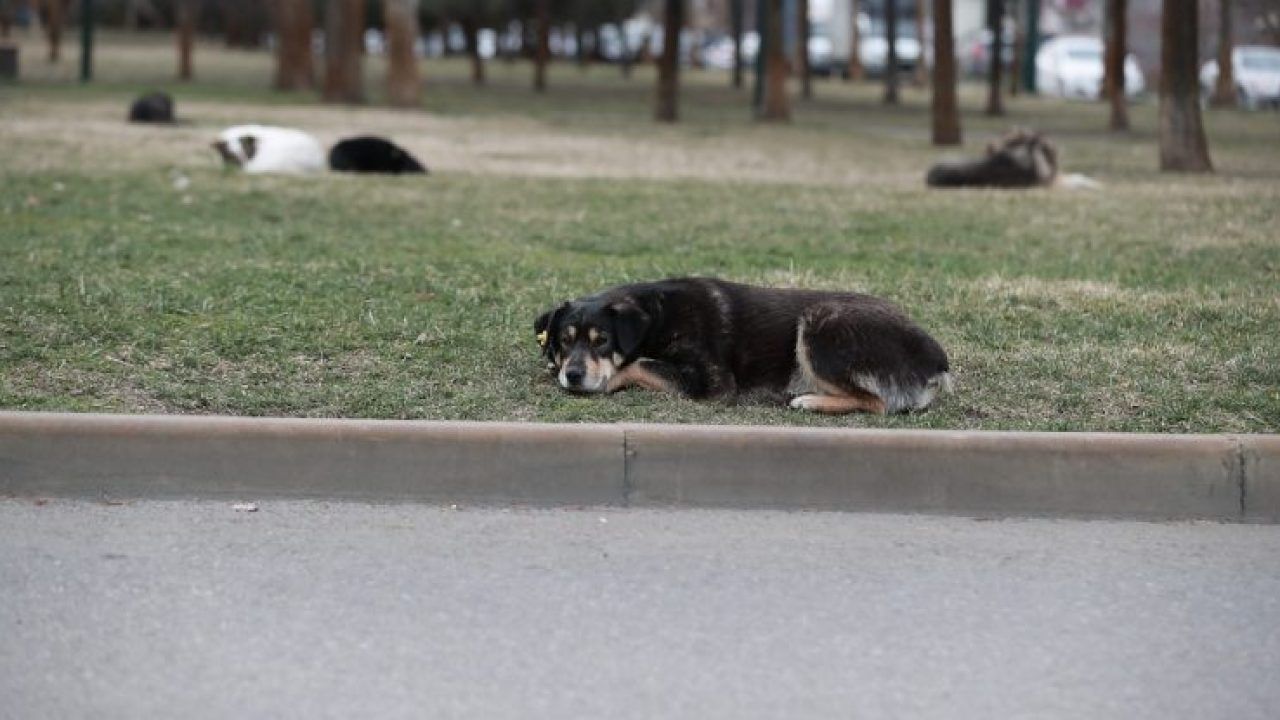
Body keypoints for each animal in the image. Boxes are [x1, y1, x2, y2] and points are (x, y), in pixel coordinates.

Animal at [532, 275, 952, 412]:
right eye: (563, 342)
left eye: (602, 340)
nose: (573, 375)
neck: (657, 316)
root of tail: (937, 360)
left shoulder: (713, 382)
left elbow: (638, 363)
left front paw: (608, 379)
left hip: (820, 323)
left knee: (878, 403)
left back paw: (810, 400)